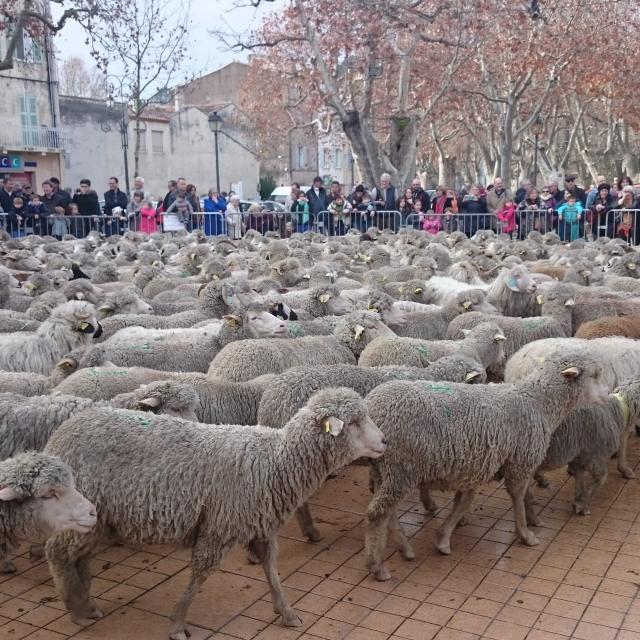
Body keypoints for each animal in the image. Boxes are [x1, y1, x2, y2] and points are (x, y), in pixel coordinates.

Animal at [46, 388, 384, 636]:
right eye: (355, 422)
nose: (384, 441)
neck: (274, 461)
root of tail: (62, 433)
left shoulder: (259, 524)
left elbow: (271, 569)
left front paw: (286, 611)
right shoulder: (220, 527)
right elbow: (200, 574)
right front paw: (178, 623)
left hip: (97, 518)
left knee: (79, 557)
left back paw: (85, 601)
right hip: (79, 511)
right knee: (57, 553)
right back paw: (75, 608)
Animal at [362, 350, 608, 580]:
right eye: (595, 374)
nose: (607, 394)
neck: (538, 402)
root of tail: (373, 406)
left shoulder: (476, 466)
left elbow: (464, 502)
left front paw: (444, 538)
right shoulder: (520, 462)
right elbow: (518, 496)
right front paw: (525, 533)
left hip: (385, 469)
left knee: (387, 511)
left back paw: (404, 549)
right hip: (402, 469)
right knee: (377, 513)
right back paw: (377, 566)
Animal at [532, 380, 640, 516]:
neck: (614, 411)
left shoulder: (579, 457)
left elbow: (579, 480)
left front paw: (579, 502)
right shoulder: (593, 456)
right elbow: (601, 477)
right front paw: (582, 503)